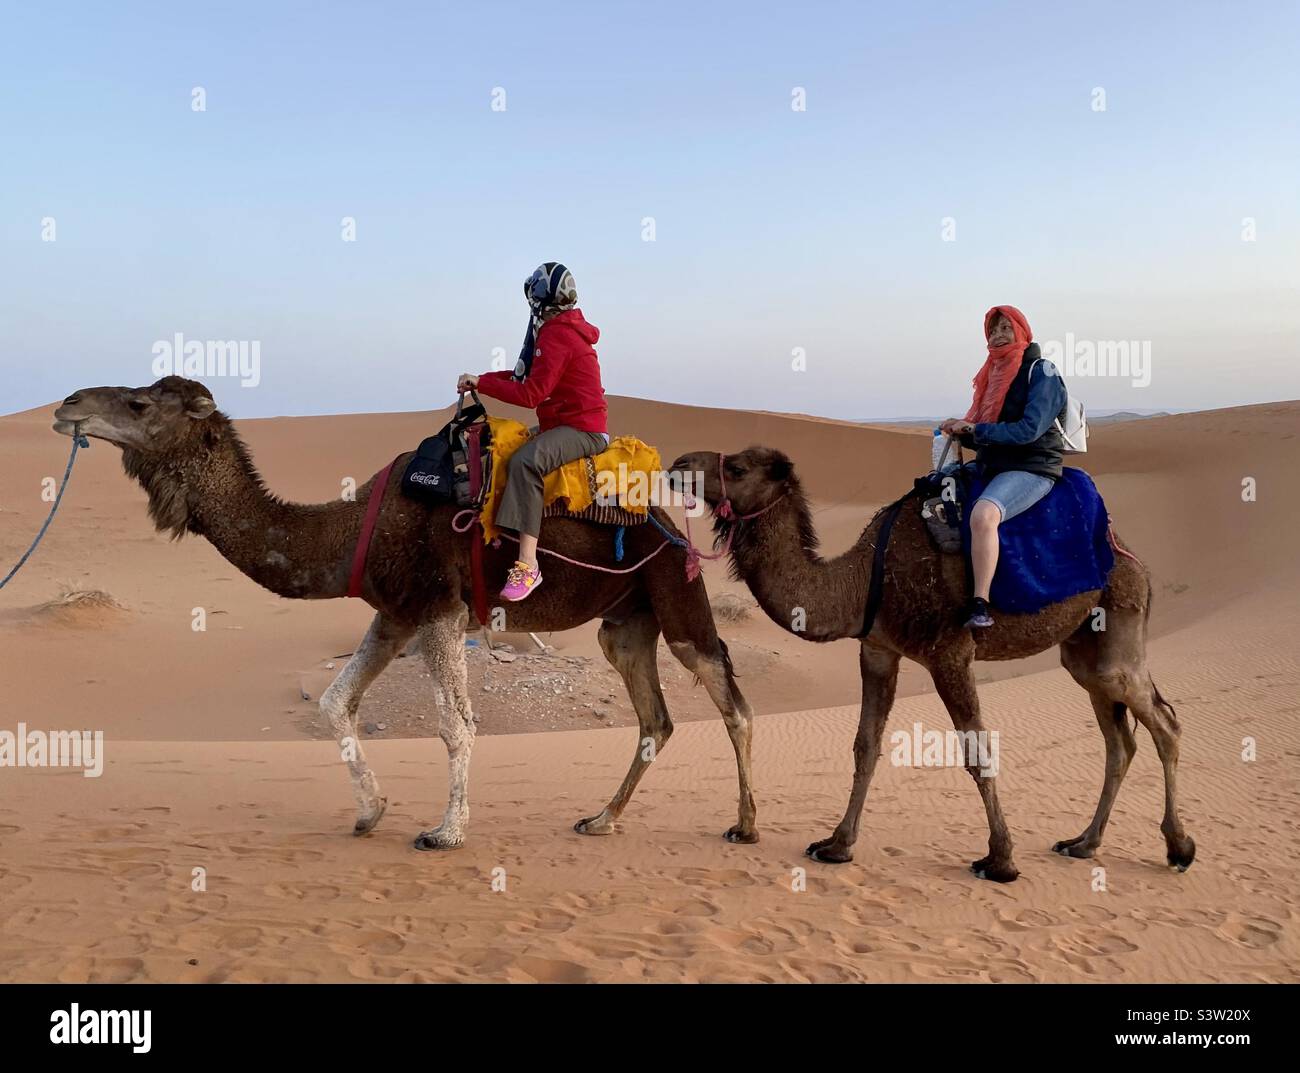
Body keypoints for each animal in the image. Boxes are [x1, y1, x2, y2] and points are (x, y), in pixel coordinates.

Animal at [51, 376, 758, 849]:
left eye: (140, 404)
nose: (68, 405)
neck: (351, 531)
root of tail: (668, 515)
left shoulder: (440, 608)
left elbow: (456, 723)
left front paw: (446, 832)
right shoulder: (394, 615)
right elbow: (335, 701)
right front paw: (371, 812)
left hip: (675, 591)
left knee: (731, 699)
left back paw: (746, 825)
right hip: (626, 622)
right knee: (655, 717)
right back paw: (601, 819)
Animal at [669, 447, 1195, 882]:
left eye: (738, 468)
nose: (677, 465)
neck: (863, 576)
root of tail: (1132, 556)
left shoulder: (950, 654)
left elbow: (977, 750)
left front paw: (1000, 860)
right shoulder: (878, 649)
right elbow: (865, 746)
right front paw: (837, 845)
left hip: (1117, 626)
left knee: (1164, 723)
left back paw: (1179, 848)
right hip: (1083, 650)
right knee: (1120, 739)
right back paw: (1084, 843)